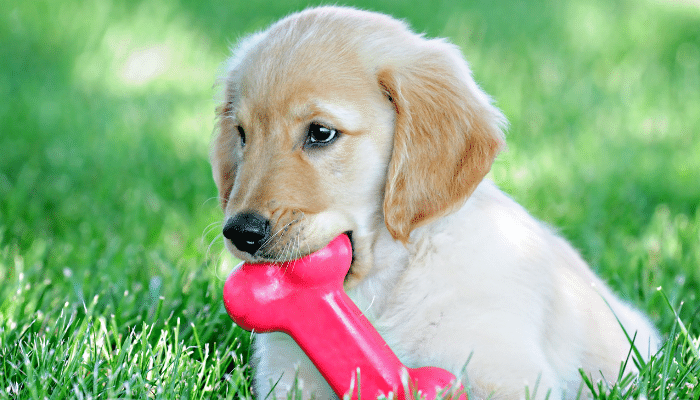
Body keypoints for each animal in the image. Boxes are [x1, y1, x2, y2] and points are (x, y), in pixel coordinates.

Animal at [211, 6, 660, 400]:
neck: (380, 287)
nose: (241, 233)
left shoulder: (505, 372)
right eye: (242, 134)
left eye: (321, 133)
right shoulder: (288, 375)